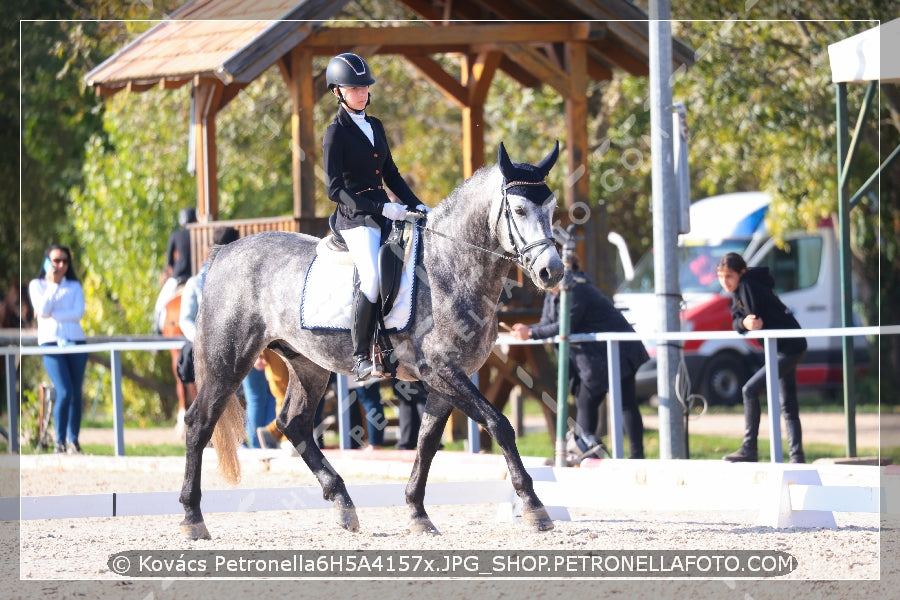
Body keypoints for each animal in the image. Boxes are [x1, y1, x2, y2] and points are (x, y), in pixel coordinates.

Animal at [178, 142, 564, 540]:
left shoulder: (446, 380)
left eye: (552, 208)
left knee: (293, 423)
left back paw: (343, 503)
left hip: (308, 363)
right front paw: (534, 506)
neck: (450, 266)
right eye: (519, 209)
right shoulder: (440, 371)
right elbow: (499, 424)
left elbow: (427, 442)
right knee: (199, 423)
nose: (552, 271)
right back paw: (193, 517)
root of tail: (224, 254)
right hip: (229, 360)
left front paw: (417, 512)